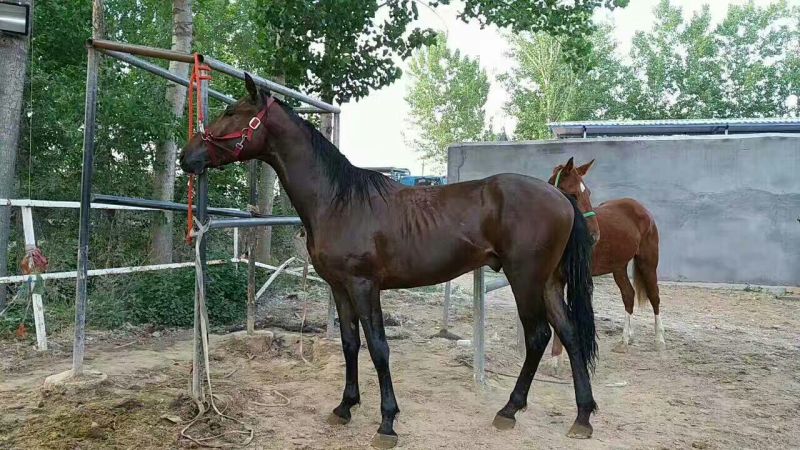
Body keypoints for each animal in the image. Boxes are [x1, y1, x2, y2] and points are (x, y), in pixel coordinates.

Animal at [180, 74, 599, 447]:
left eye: (231, 111)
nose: (188, 156)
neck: (337, 200)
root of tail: (562, 198)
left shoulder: (364, 285)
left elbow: (379, 347)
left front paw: (386, 422)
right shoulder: (339, 287)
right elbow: (350, 343)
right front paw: (345, 407)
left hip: (525, 279)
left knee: (539, 336)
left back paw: (509, 410)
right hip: (549, 282)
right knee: (570, 334)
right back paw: (581, 417)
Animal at [546, 158, 665, 369]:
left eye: (588, 193)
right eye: (573, 194)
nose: (594, 236)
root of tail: (641, 208)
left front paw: (559, 360)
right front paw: (555, 358)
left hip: (648, 262)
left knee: (654, 296)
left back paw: (659, 340)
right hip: (619, 267)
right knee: (628, 295)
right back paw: (625, 340)